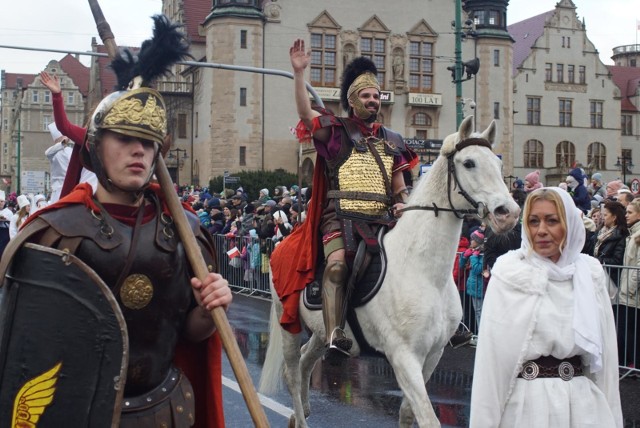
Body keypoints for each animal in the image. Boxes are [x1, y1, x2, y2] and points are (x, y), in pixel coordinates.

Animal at [258, 117, 520, 428]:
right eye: (469, 163)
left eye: (499, 164)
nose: (509, 213)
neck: (424, 272)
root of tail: (283, 242)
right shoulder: (403, 356)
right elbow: (427, 418)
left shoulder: (432, 355)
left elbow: (408, 413)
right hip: (287, 320)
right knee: (292, 372)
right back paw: (300, 418)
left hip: (321, 333)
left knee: (304, 361)